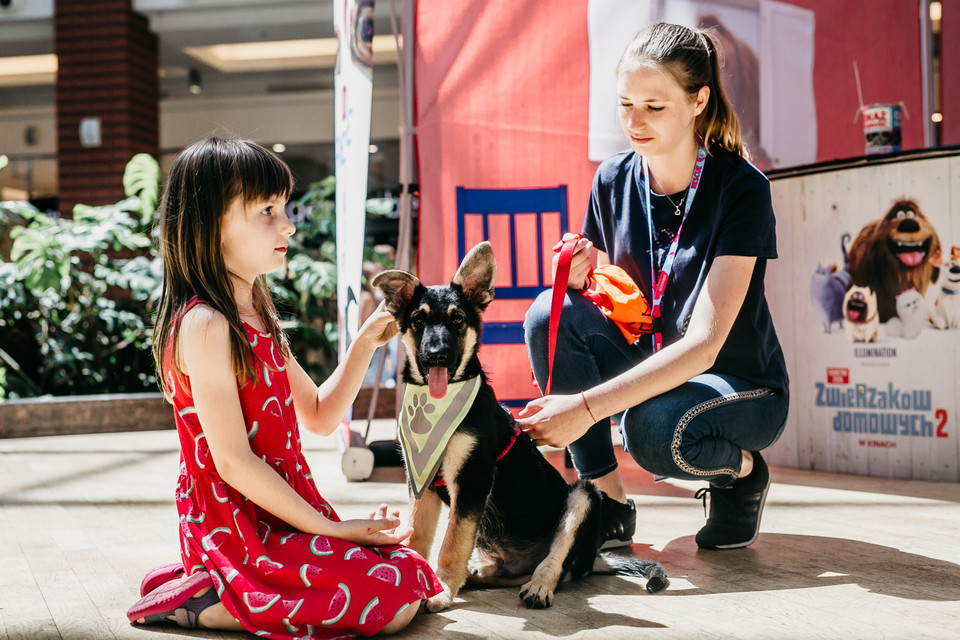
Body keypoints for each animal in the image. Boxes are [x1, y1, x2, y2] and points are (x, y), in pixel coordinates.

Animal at [370, 242, 668, 612]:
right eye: (418, 321)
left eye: (457, 320)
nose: (437, 355)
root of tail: (590, 559)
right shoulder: (420, 481)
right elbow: (418, 534)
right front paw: (420, 575)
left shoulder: (472, 479)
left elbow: (452, 542)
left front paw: (442, 589)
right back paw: (476, 575)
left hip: (583, 496)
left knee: (555, 561)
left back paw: (538, 586)